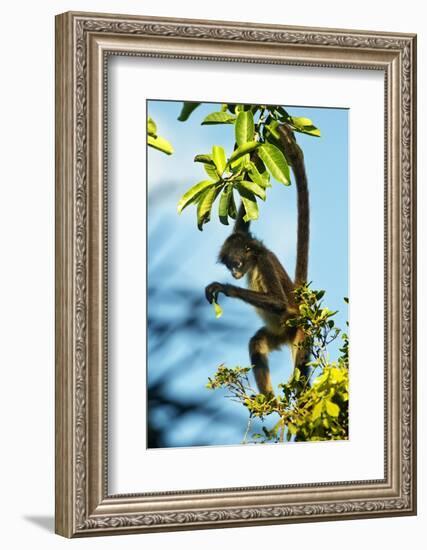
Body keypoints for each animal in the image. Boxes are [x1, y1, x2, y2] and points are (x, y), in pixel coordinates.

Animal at [206, 126, 310, 396]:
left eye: (236, 265)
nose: (234, 275)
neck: (254, 259)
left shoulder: (264, 262)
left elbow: (277, 302)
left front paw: (225, 288)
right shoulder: (241, 234)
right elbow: (244, 217)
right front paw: (253, 144)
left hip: (299, 333)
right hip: (277, 334)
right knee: (256, 343)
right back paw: (270, 401)